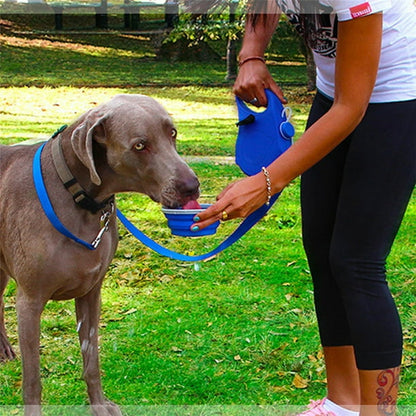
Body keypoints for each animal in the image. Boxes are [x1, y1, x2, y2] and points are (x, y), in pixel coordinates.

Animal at [0, 95, 202, 416]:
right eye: (140, 145)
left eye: (172, 133)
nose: (191, 186)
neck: (80, 197)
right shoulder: (29, 300)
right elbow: (32, 381)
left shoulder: (91, 290)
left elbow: (91, 359)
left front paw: (99, 405)